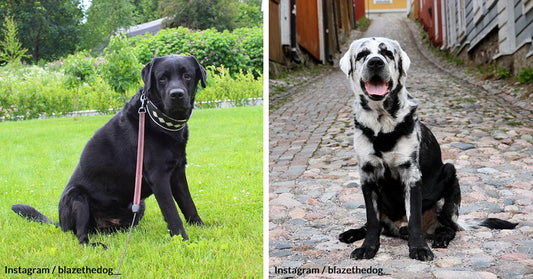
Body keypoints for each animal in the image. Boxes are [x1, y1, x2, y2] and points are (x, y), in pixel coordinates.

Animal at [336, 37, 516, 262]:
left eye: (387, 53)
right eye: (362, 54)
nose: (375, 62)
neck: (381, 126)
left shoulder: (411, 175)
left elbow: (414, 219)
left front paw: (419, 248)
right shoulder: (367, 176)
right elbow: (372, 221)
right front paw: (368, 247)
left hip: (450, 178)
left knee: (449, 227)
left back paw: (440, 237)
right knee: (374, 225)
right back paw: (352, 233)